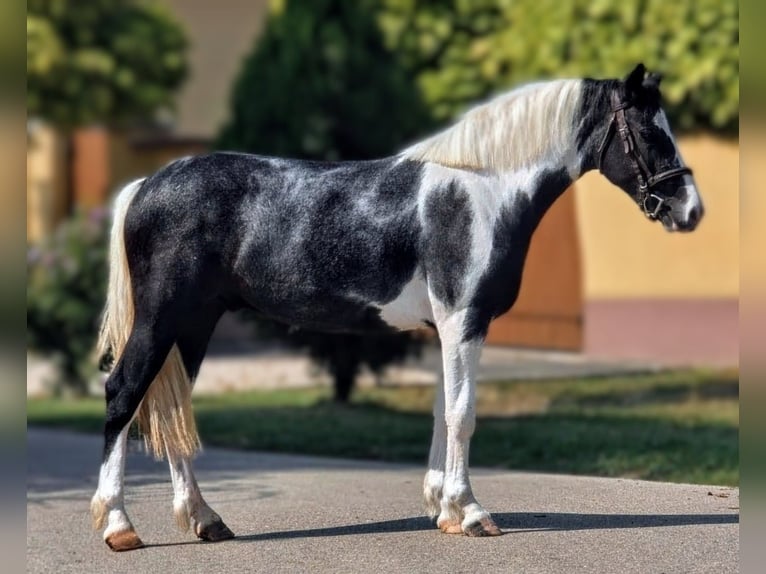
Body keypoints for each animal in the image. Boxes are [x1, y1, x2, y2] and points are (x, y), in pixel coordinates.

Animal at [91, 63, 703, 550]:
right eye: (650, 132)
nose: (690, 210)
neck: (482, 192)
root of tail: (146, 184)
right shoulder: (464, 321)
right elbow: (463, 414)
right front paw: (472, 513)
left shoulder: (449, 327)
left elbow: (441, 409)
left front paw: (445, 509)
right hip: (162, 318)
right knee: (125, 392)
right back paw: (119, 525)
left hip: (194, 323)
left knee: (171, 405)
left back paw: (205, 520)